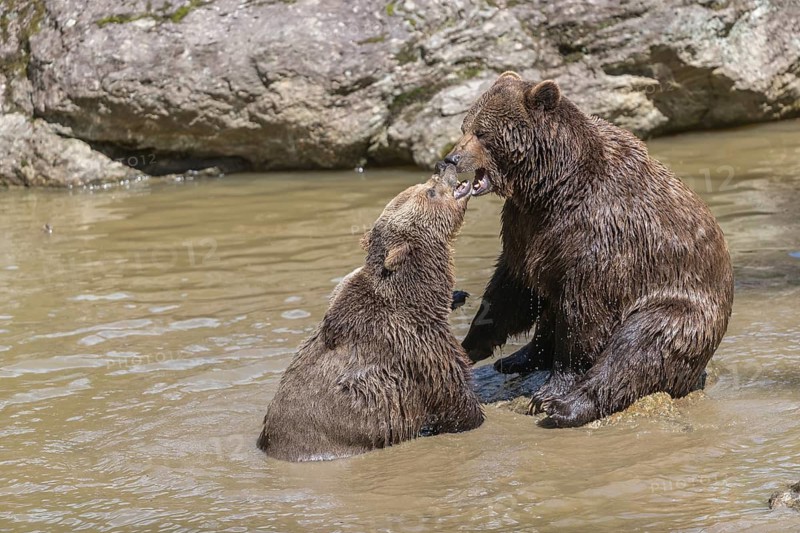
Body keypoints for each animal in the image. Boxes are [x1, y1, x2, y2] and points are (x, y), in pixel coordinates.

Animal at [257, 166, 484, 461]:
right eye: (430, 191)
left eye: (426, 184)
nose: (444, 166)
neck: (419, 297)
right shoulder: (416, 346)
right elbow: (454, 395)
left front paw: (458, 295)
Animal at [444, 71, 734, 428]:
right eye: (465, 127)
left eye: (482, 133)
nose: (451, 158)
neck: (550, 186)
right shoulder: (527, 228)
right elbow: (513, 285)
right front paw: (470, 345)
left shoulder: (601, 235)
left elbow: (584, 316)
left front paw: (550, 393)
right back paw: (517, 358)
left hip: (681, 309)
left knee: (638, 347)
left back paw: (567, 407)